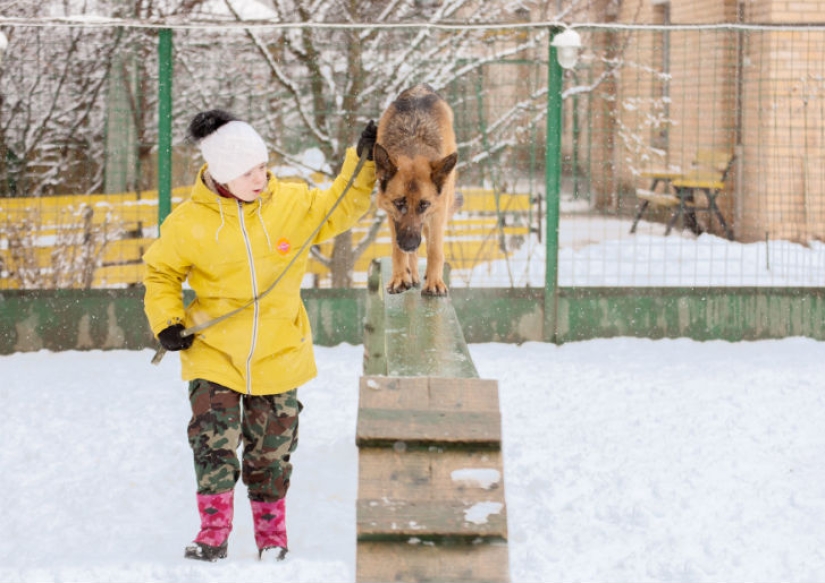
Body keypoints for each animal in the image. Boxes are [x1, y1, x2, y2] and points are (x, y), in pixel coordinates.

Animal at [372, 85, 458, 296]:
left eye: (424, 204)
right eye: (398, 203)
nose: (410, 244)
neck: (412, 141)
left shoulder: (437, 212)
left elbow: (435, 250)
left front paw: (434, 282)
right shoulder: (392, 216)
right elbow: (397, 250)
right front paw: (400, 277)